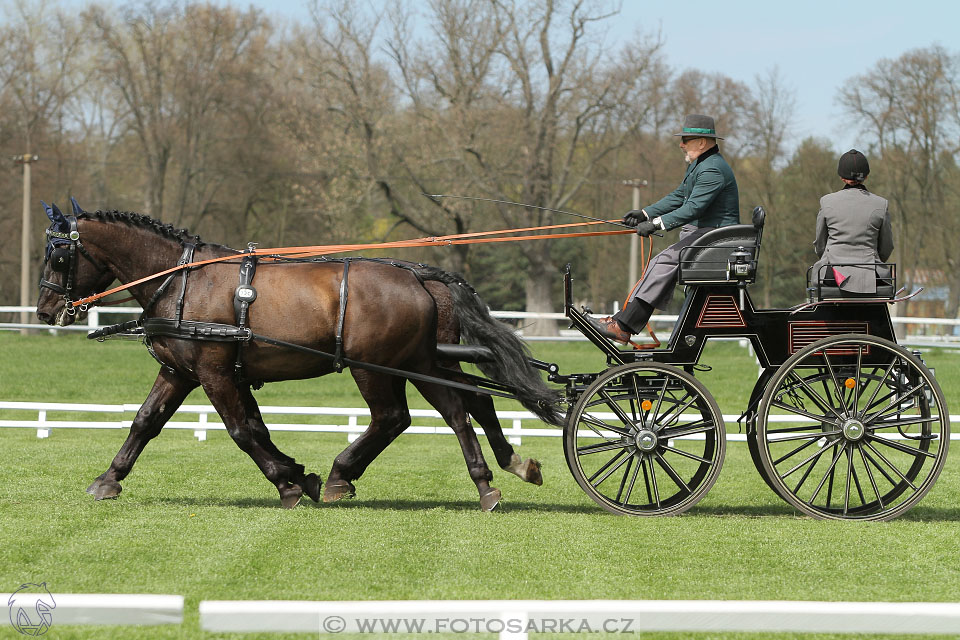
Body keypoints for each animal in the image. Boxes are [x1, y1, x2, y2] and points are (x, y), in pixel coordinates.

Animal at [35, 202, 564, 512]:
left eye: (58, 257)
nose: (43, 311)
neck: (183, 280)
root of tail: (419, 275)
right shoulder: (181, 371)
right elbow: (147, 422)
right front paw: (109, 479)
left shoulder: (213, 371)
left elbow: (242, 432)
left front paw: (289, 483)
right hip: (423, 363)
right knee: (467, 403)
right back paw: (499, 471)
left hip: (378, 368)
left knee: (400, 416)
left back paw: (353, 476)